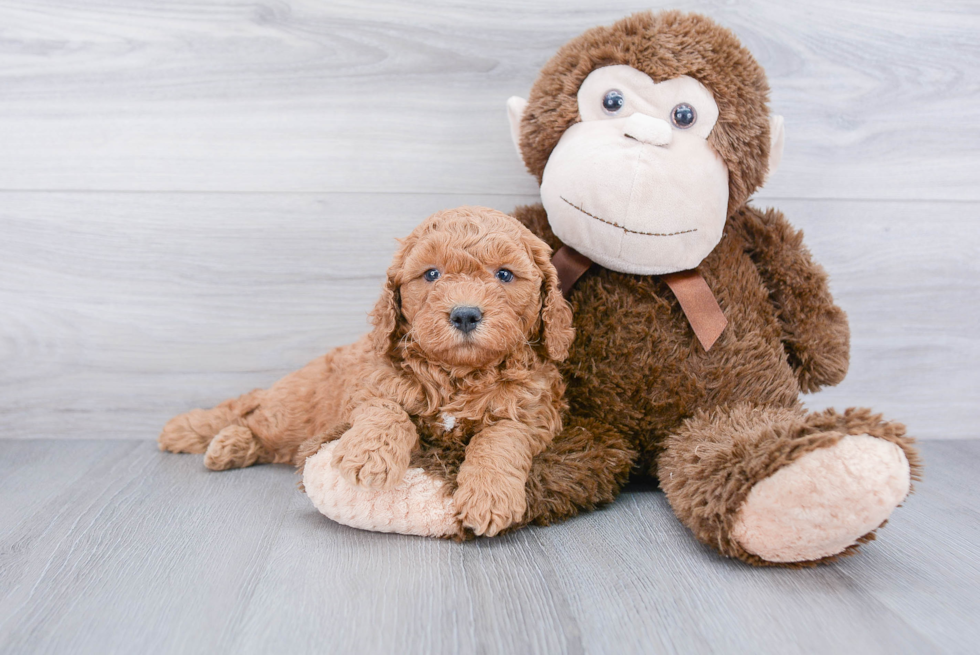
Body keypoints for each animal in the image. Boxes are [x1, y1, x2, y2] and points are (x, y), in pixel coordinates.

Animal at [160, 206, 576, 540]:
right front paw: (371, 457)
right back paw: (220, 441)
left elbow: (500, 438)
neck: (457, 372)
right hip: (292, 412)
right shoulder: (372, 382)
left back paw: (229, 445)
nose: (464, 314)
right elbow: (386, 410)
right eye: (432, 274)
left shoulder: (533, 412)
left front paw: (488, 497)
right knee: (254, 417)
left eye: (504, 275)